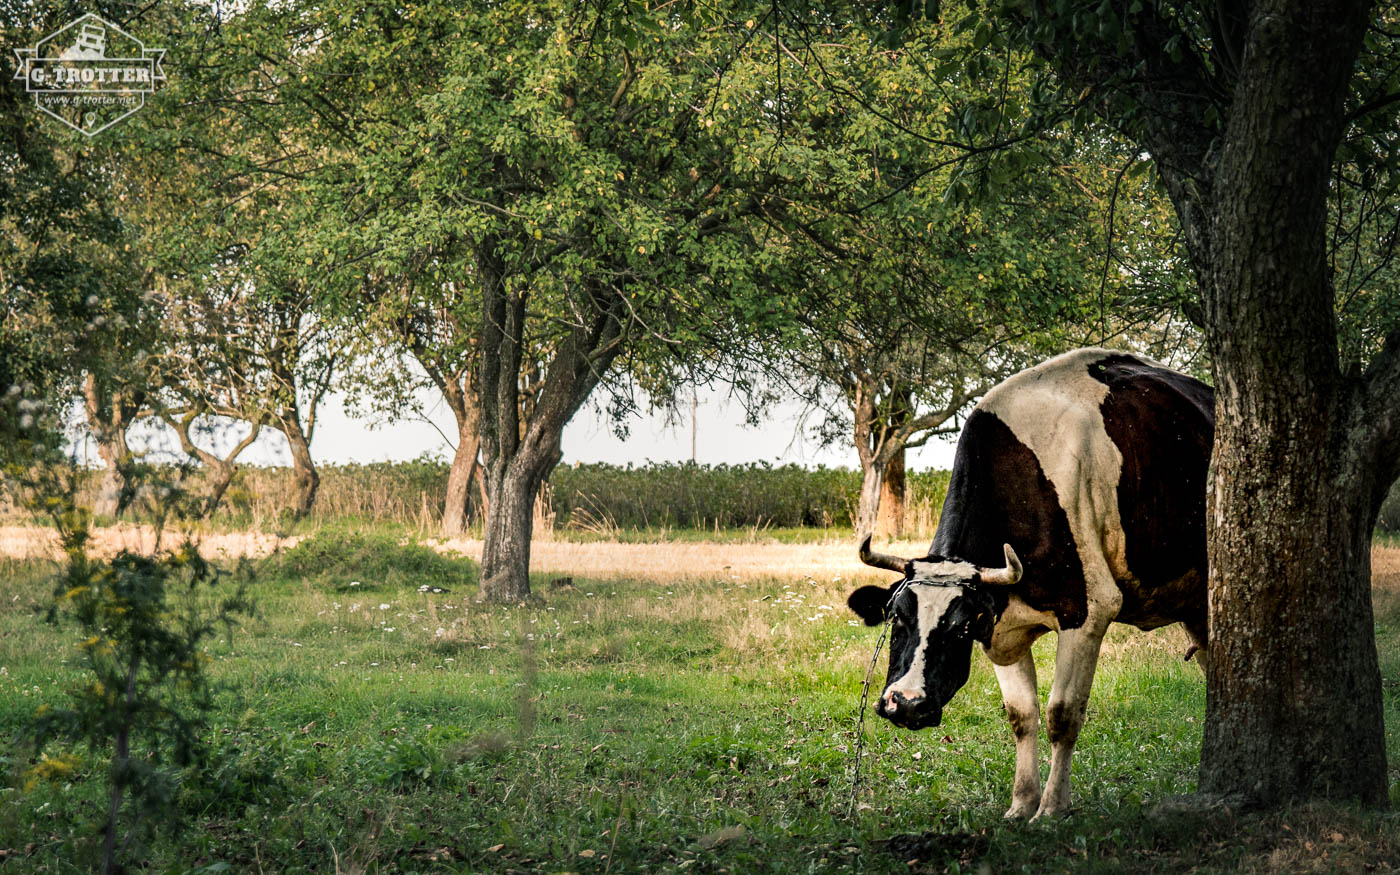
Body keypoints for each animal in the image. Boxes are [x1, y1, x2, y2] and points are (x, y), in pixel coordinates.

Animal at [840, 348, 1215, 817]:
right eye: (896, 619)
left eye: (959, 627)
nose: (905, 702)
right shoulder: (1003, 630)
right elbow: (1021, 716)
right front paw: (1021, 804)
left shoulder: (1089, 612)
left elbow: (1062, 715)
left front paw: (1052, 807)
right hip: (1195, 608)